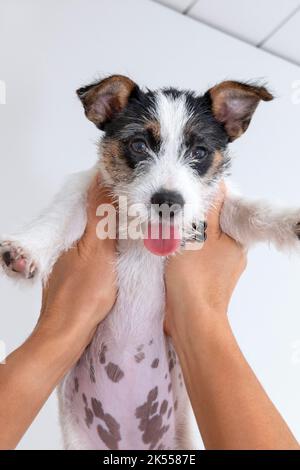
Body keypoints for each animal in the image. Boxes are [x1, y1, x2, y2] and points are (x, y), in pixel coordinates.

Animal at [1, 74, 298, 448]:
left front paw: (291, 220)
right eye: (140, 145)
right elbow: (59, 217)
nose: (167, 201)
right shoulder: (83, 193)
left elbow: (251, 211)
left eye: (199, 152)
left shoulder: (220, 209)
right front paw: (25, 250)